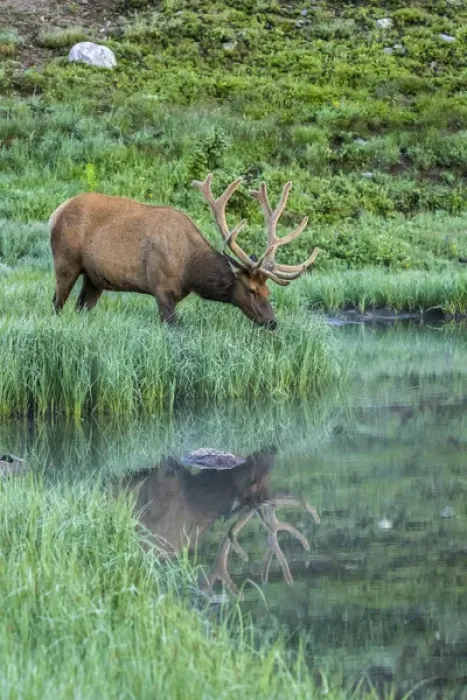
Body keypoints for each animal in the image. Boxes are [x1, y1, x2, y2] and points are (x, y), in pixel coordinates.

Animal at [49, 175, 319, 329]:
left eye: (268, 291)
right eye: (252, 290)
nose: (272, 322)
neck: (190, 271)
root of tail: (55, 213)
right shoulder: (160, 287)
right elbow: (173, 327)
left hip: (95, 278)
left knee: (81, 307)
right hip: (65, 262)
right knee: (56, 304)